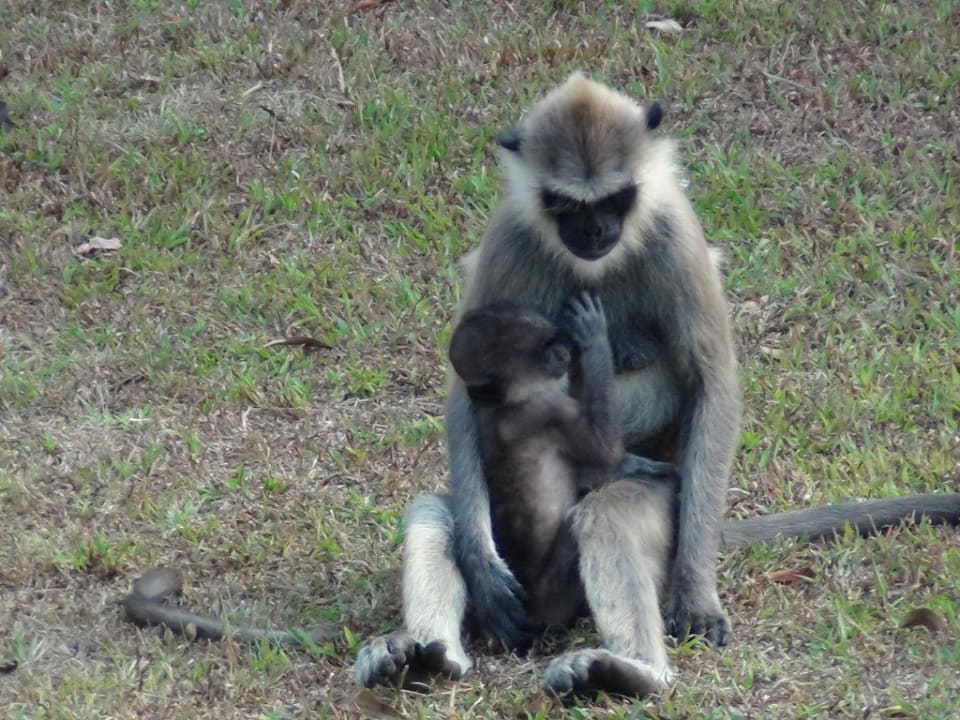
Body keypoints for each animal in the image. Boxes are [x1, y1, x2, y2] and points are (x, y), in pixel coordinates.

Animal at [354, 72, 960, 699]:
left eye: (614, 199)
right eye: (567, 204)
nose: (595, 230)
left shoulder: (674, 231)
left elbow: (711, 386)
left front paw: (695, 595)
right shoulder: (511, 233)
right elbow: (461, 396)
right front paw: (479, 565)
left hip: (665, 513)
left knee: (608, 514)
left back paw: (631, 670)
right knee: (434, 510)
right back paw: (431, 655)